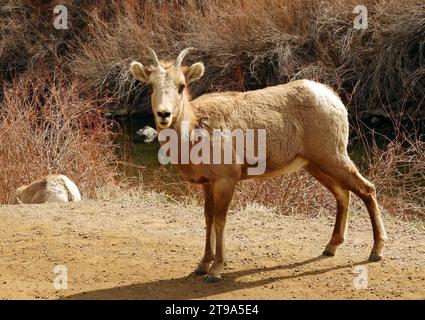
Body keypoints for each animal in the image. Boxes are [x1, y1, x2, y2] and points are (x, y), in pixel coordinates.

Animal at [130, 47, 388, 282]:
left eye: (181, 86)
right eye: (150, 86)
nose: (164, 114)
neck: (194, 131)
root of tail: (335, 99)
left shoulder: (226, 179)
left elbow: (220, 220)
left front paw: (215, 270)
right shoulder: (207, 183)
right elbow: (208, 219)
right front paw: (201, 266)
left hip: (333, 156)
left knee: (367, 189)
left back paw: (376, 251)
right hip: (315, 164)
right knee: (343, 194)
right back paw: (330, 247)